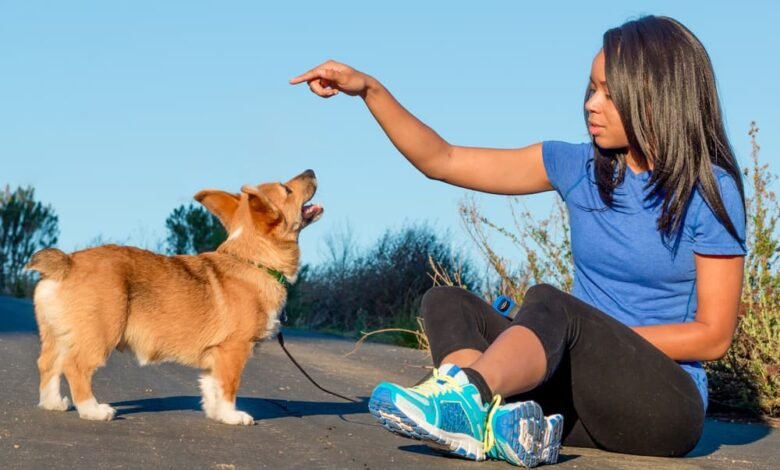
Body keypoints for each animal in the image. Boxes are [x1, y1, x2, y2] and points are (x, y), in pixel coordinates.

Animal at [24, 170, 322, 426]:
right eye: (286, 189)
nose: (311, 170)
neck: (254, 261)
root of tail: (67, 263)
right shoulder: (233, 350)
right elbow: (228, 387)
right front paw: (231, 416)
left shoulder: (215, 355)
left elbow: (212, 387)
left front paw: (215, 413)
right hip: (100, 334)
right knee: (75, 367)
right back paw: (93, 410)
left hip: (58, 334)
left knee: (49, 364)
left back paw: (53, 403)